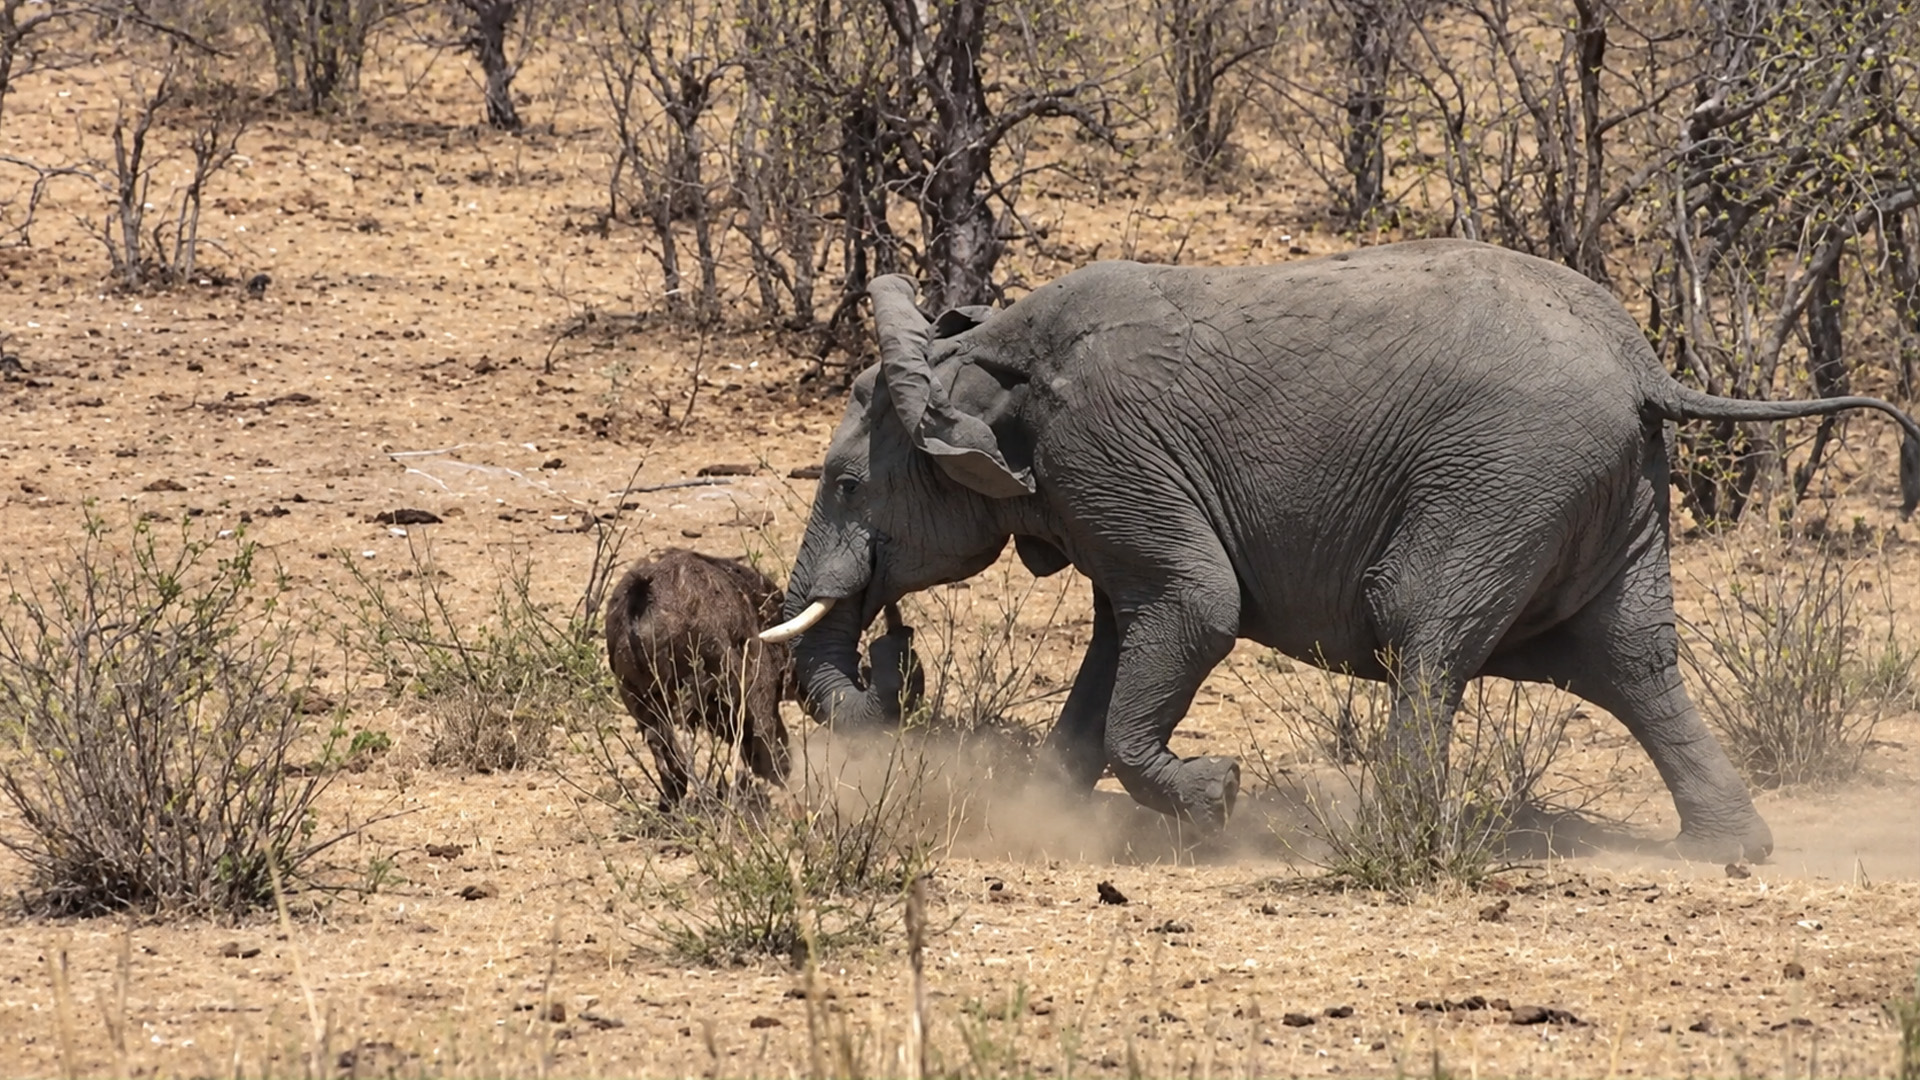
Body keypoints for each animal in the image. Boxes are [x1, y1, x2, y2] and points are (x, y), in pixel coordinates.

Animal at [760, 239, 1920, 862]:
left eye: (846, 485)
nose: (888, 659)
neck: (989, 349)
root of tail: (1646, 364)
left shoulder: (1110, 455)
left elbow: (1197, 609)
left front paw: (1216, 797)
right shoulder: (1110, 491)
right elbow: (1122, 638)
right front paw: (1050, 818)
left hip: (1503, 475)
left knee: (1424, 630)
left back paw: (1385, 836)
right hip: (1608, 486)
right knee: (1630, 658)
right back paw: (1727, 850)